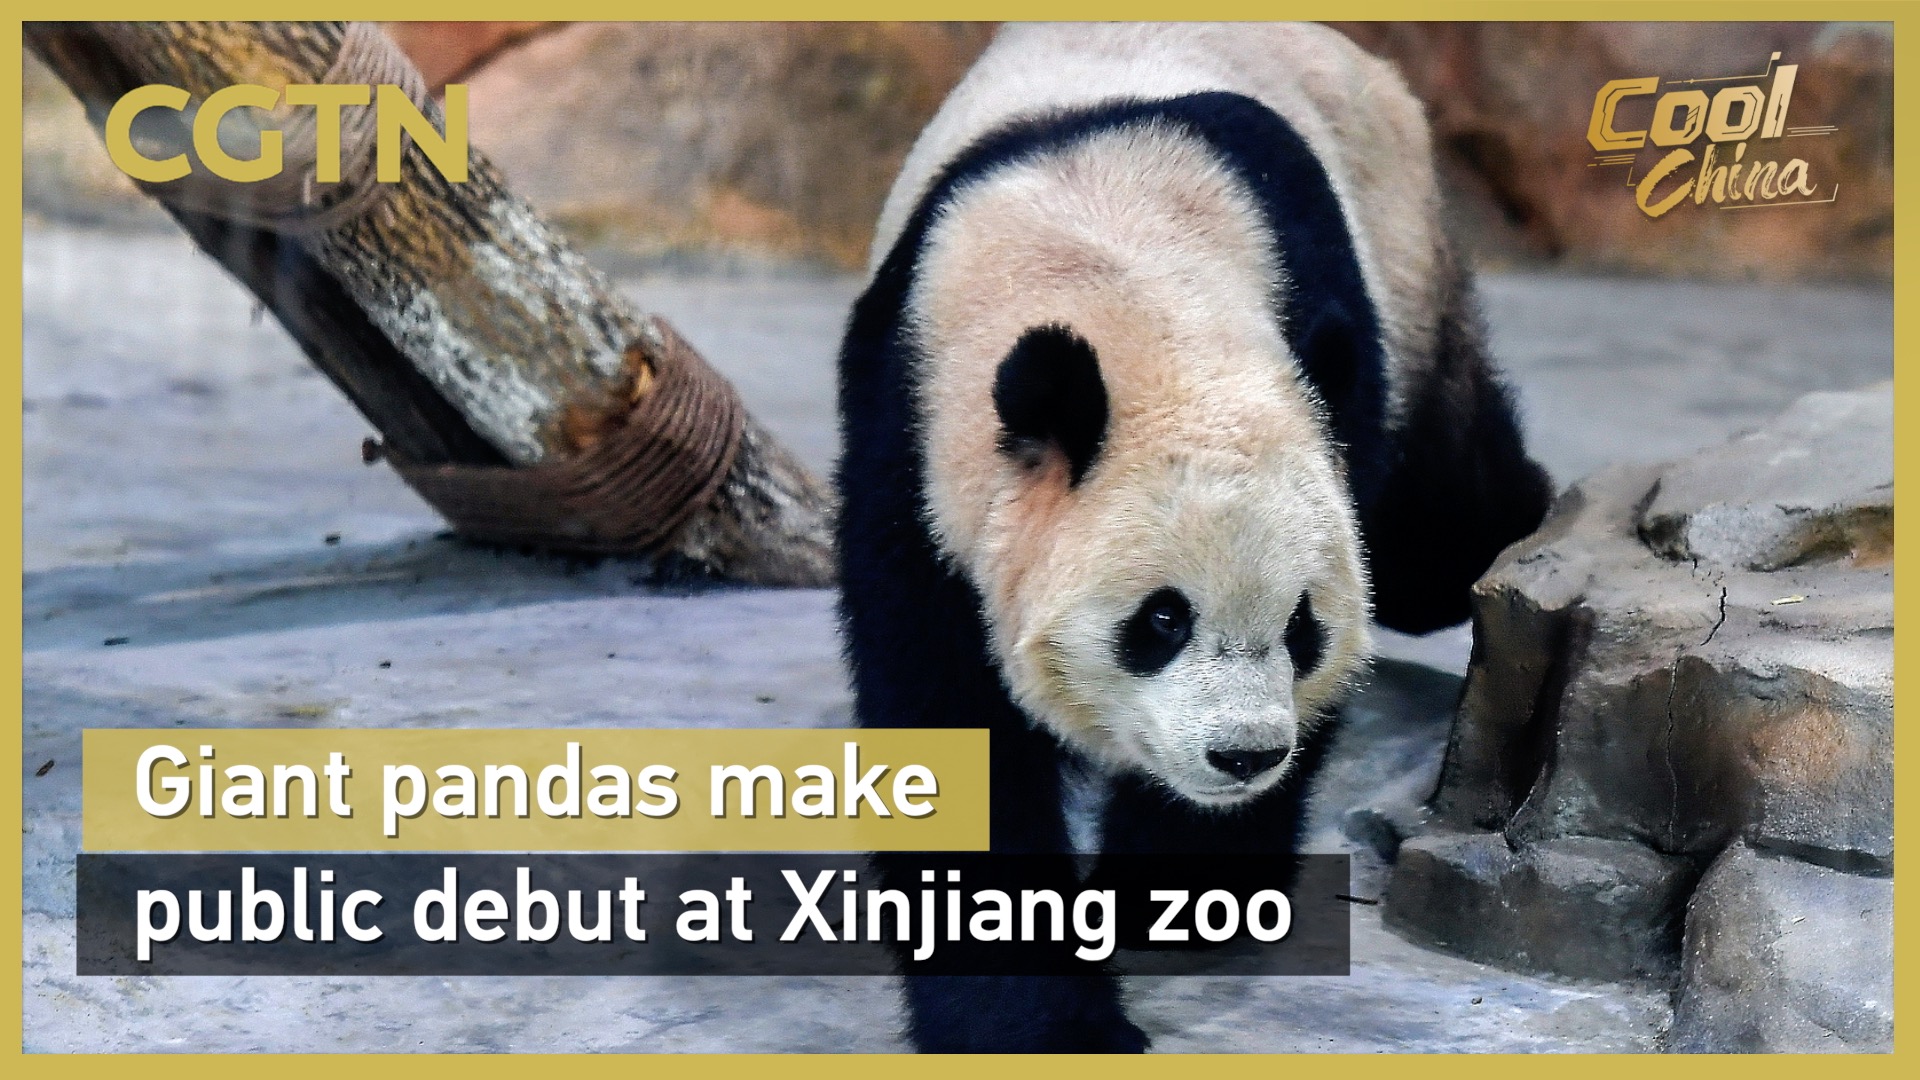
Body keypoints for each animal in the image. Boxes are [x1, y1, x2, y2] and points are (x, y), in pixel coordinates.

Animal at [835, 23, 1553, 1053]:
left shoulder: (1330, 363)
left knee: (1437, 520)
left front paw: (1176, 896)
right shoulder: (911, 448)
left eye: (1302, 627)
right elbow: (948, 722)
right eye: (1161, 621)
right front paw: (1046, 1025)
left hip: (1406, 252)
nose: (1243, 756)